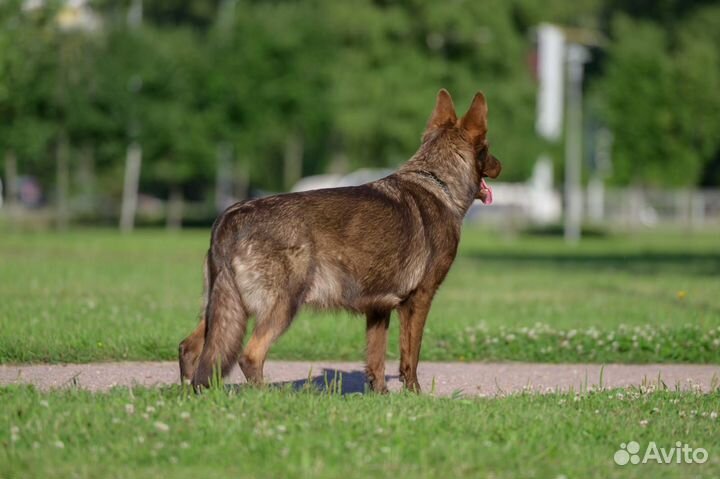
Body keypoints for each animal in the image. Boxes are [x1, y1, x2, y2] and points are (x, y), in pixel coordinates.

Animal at [180, 90, 500, 394]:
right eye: (487, 148)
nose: (501, 165)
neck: (437, 181)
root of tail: (231, 216)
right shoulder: (419, 299)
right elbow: (410, 356)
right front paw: (415, 395)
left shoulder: (378, 309)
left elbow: (376, 360)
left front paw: (381, 396)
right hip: (281, 306)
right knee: (250, 356)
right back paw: (266, 397)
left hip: (224, 309)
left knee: (190, 348)